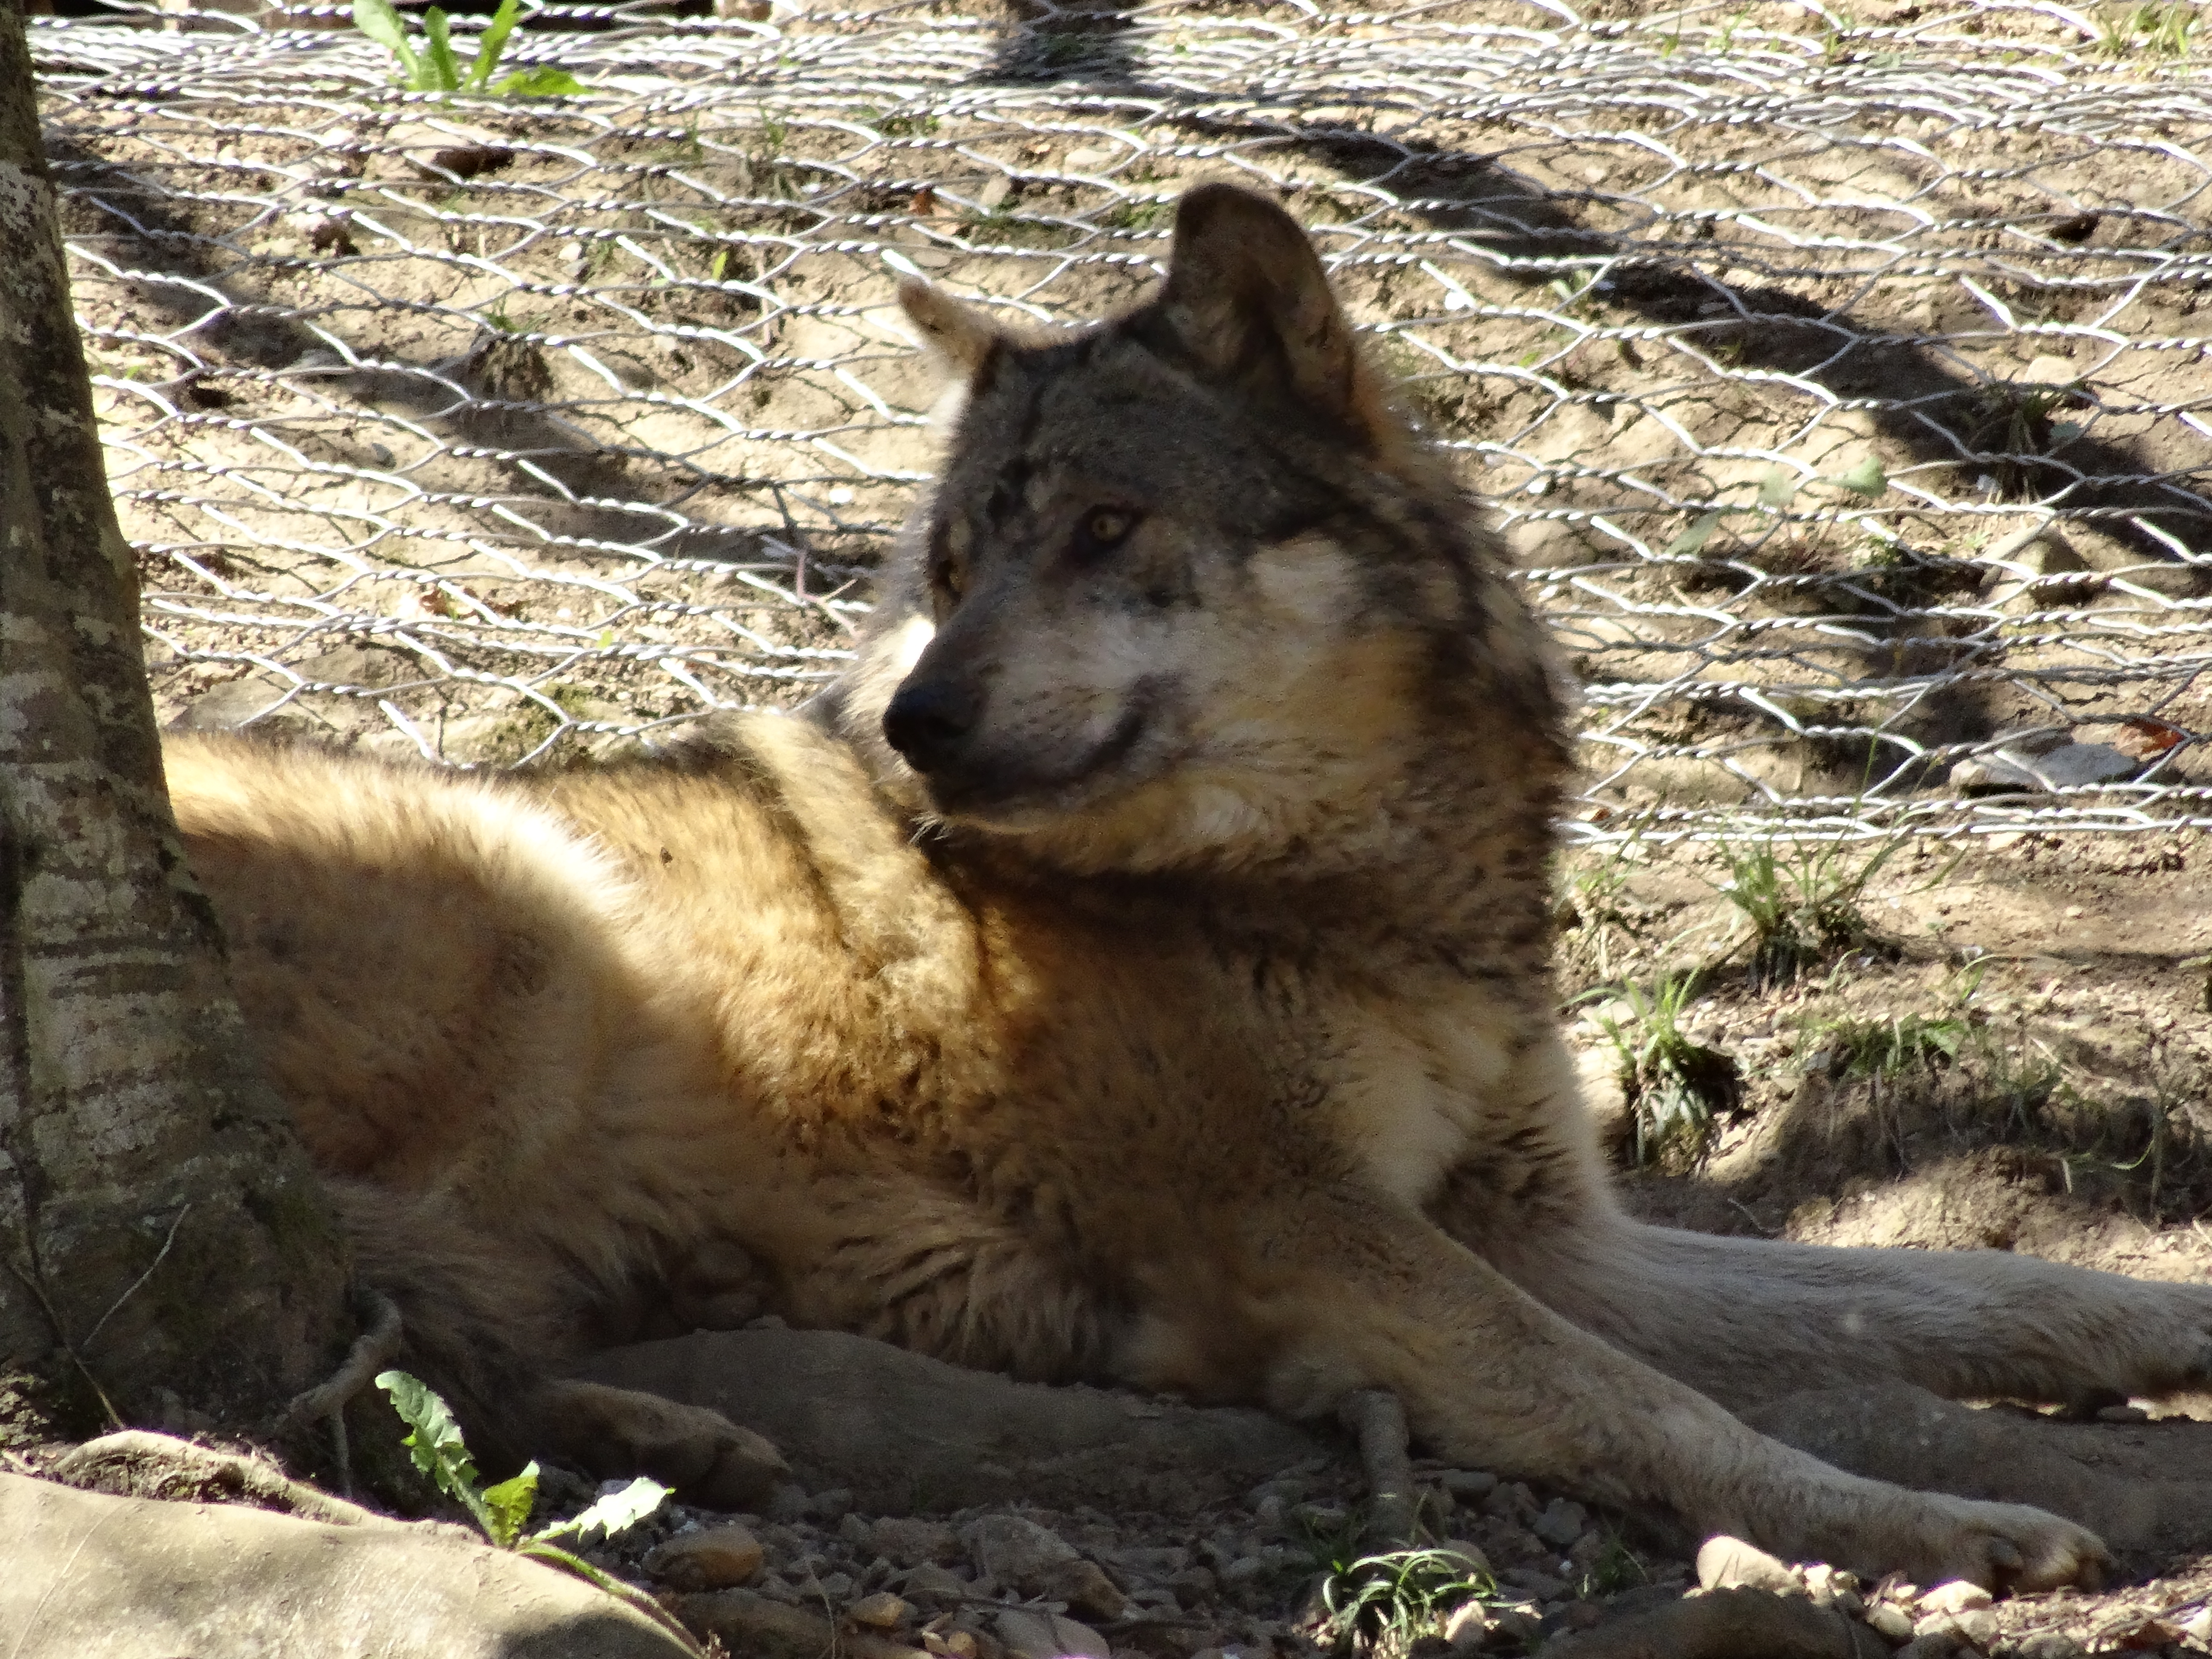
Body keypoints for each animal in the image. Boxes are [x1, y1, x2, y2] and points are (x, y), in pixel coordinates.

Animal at [168, 182, 2212, 1590]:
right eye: (954, 562)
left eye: (1101, 530)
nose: (911, 721)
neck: (1348, 901)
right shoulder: (1318, 1240)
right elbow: (1655, 1404)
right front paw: (1927, 1517)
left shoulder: (1554, 1232)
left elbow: (1948, 1287)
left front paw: (2161, 1335)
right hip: (528, 903)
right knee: (382, 1304)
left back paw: (689, 1428)